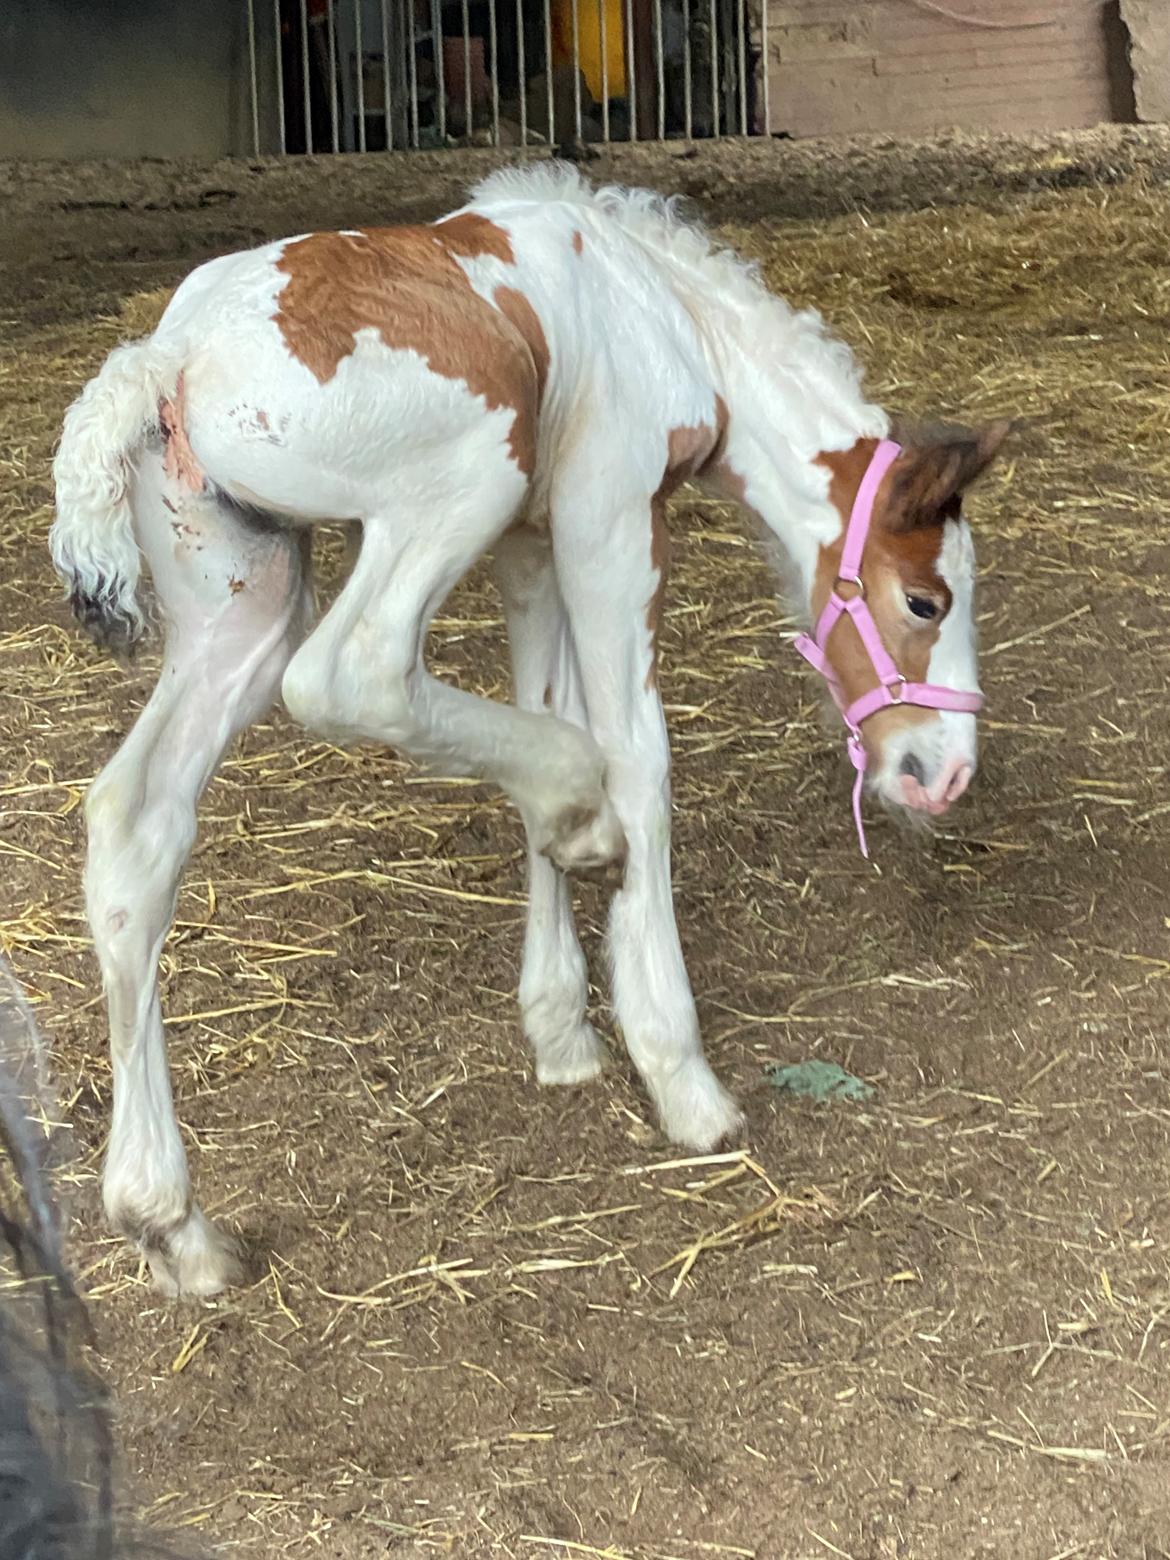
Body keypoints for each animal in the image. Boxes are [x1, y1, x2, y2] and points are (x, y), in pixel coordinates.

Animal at [50, 164, 1010, 1297]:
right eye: (925, 601)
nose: (942, 773)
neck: (663, 312)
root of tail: (168, 357)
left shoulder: (530, 544)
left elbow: (545, 712)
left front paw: (561, 1029)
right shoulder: (608, 519)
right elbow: (634, 756)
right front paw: (678, 1070)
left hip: (242, 587)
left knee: (136, 825)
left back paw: (174, 1226)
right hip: (460, 483)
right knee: (352, 671)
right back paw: (576, 809)